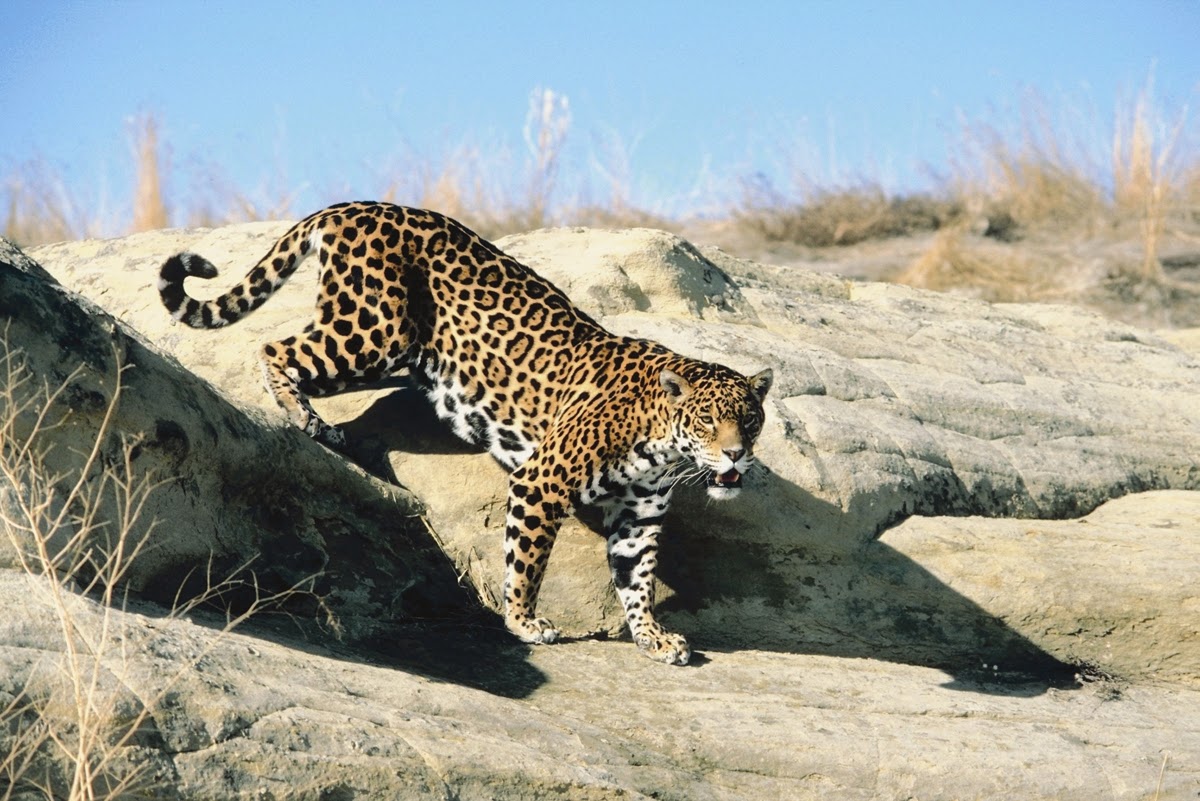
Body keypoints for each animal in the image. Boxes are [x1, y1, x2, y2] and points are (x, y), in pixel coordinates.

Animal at [158, 201, 773, 665]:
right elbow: (526, 561)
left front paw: (652, 637)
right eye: (708, 421)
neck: (662, 440)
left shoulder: (640, 514)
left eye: (749, 420)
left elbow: (637, 576)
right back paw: (303, 416)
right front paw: (524, 622)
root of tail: (357, 205)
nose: (735, 456)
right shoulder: (541, 483)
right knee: (274, 347)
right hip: (375, 334)